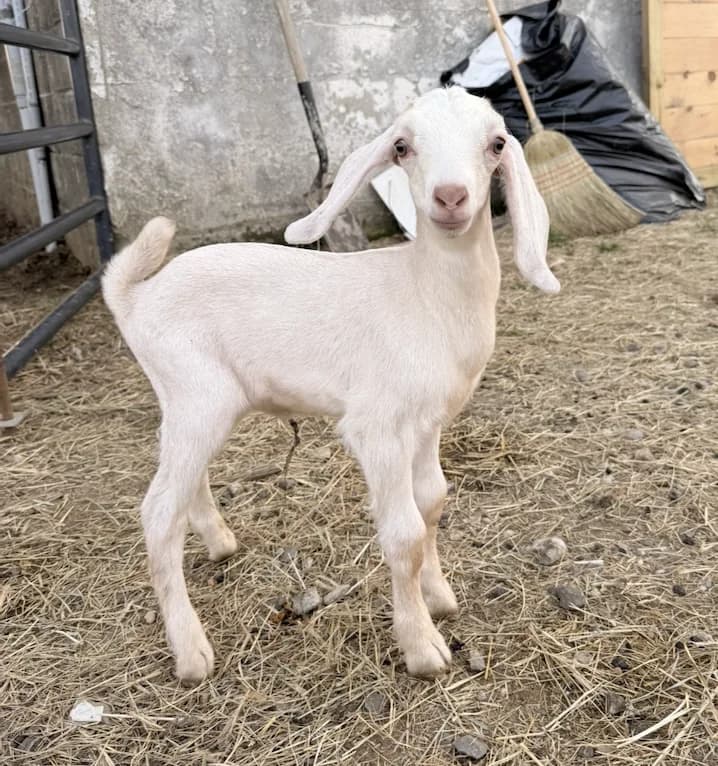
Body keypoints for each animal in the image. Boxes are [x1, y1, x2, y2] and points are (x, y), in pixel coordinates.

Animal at [102, 87, 559, 683]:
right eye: (402, 146)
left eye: (497, 143)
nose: (451, 196)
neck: (424, 293)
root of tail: (133, 296)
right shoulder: (377, 427)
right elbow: (405, 535)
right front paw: (422, 646)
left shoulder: (428, 424)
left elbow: (433, 503)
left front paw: (438, 597)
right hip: (198, 393)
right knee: (158, 512)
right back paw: (191, 651)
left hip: (189, 401)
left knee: (181, 476)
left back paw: (220, 542)